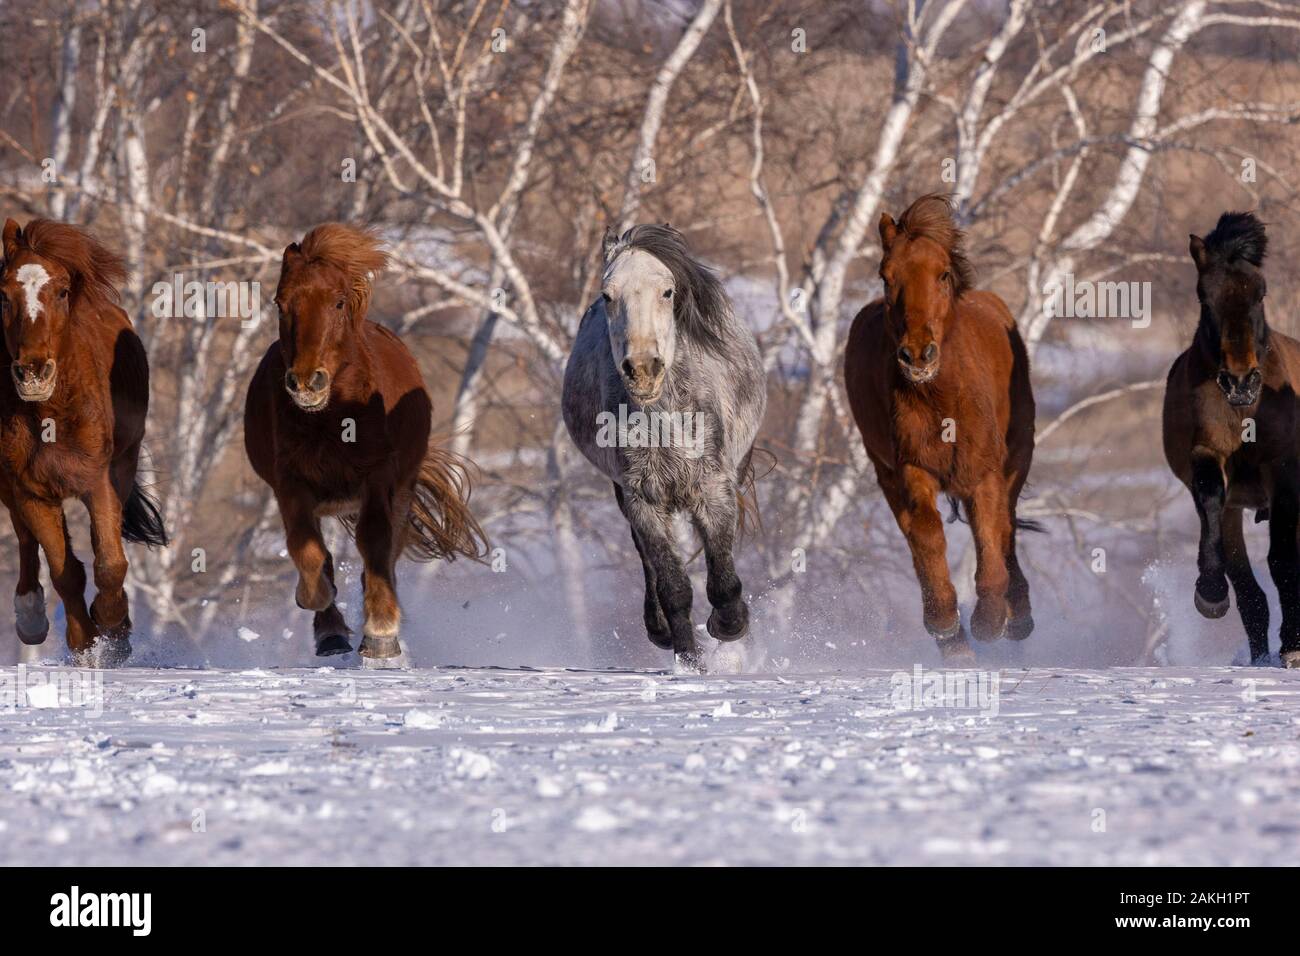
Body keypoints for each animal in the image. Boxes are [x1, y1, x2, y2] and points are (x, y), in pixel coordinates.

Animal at [0, 217, 167, 665]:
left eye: (60, 291)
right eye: (3, 295)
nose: (33, 372)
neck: (50, 414)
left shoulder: (100, 480)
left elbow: (110, 562)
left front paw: (113, 628)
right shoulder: (30, 490)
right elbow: (64, 570)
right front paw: (84, 643)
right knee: (26, 540)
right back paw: (30, 617)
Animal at [564, 223, 764, 671]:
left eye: (667, 292)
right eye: (608, 295)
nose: (642, 369)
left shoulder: (713, 488)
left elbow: (722, 578)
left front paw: (729, 626)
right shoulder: (643, 498)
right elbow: (673, 585)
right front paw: (689, 658)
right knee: (647, 562)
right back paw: (659, 630)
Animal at [842, 192, 1034, 658]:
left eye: (943, 273)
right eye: (886, 276)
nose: (917, 355)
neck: (941, 400)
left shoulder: (985, 472)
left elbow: (992, 535)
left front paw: (989, 620)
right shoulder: (911, 468)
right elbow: (927, 535)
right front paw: (948, 626)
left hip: (1016, 459)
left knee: (1007, 528)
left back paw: (1017, 616)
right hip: (886, 474)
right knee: (916, 536)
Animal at [1164, 213, 1294, 671]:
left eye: (1261, 293)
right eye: (1205, 297)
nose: (1240, 381)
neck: (1244, 412)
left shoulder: (1282, 468)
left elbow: (1282, 558)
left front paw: (1292, 646)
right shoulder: (1209, 457)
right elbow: (1211, 507)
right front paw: (1210, 593)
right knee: (1249, 589)